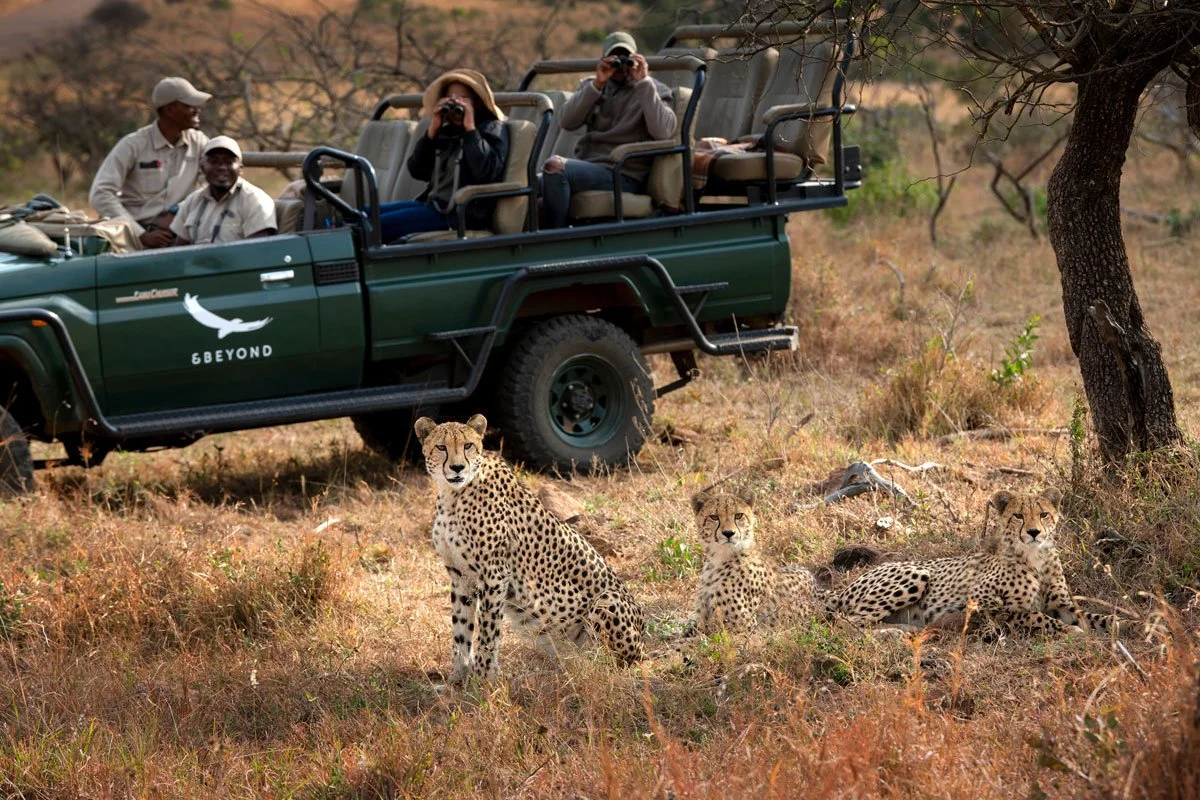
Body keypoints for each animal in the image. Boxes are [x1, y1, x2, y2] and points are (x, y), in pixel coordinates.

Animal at [414, 414, 645, 685]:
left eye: (468, 445)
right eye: (441, 447)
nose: (458, 468)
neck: (454, 494)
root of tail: (643, 642)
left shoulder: (494, 575)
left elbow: (488, 632)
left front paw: (482, 680)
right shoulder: (460, 577)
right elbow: (461, 632)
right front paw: (457, 681)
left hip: (607, 600)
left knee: (610, 663)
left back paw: (585, 668)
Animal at [691, 489, 818, 634]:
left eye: (738, 515)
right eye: (714, 517)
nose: (728, 533)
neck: (719, 559)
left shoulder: (744, 629)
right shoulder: (702, 624)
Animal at [828, 488, 1116, 636]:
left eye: (1044, 514)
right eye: (1019, 516)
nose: (1034, 532)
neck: (1035, 556)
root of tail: (845, 588)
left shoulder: (1062, 604)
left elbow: (1090, 614)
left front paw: (1121, 624)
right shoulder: (980, 601)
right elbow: (1033, 615)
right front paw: (1071, 631)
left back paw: (905, 627)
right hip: (916, 573)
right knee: (847, 623)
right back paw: (893, 633)